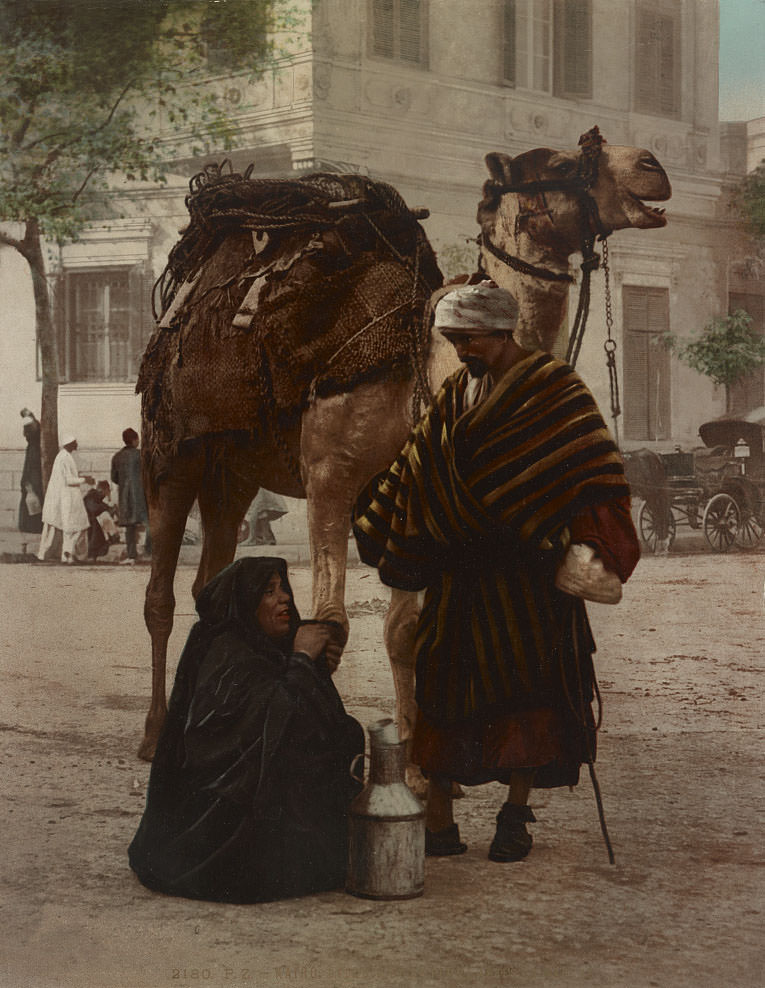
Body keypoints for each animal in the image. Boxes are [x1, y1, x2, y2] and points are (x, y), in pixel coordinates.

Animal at [136, 131, 668, 764]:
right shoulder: (329, 477)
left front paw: (415, 745)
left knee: (209, 580)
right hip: (171, 450)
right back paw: (154, 733)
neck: (421, 371)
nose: (652, 167)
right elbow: (332, 622)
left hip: (233, 470)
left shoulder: (409, 498)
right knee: (161, 594)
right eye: (563, 162)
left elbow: (403, 629)